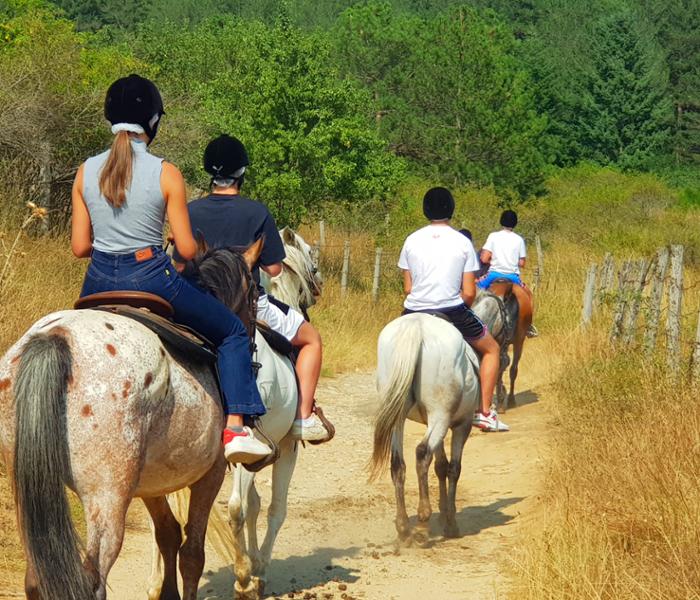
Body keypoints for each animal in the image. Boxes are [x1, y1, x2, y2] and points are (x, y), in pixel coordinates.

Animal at [0, 239, 300, 600]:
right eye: (256, 296)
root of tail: (57, 338)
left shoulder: (153, 483)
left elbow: (168, 534)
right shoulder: (210, 474)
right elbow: (192, 554)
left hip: (31, 494)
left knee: (36, 578)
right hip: (107, 498)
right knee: (92, 578)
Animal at [370, 313, 480, 545]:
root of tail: (416, 327)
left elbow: (440, 466)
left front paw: (444, 513)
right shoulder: (462, 425)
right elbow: (453, 468)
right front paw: (450, 523)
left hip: (399, 415)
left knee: (398, 464)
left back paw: (403, 527)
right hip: (440, 416)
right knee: (422, 453)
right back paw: (422, 521)